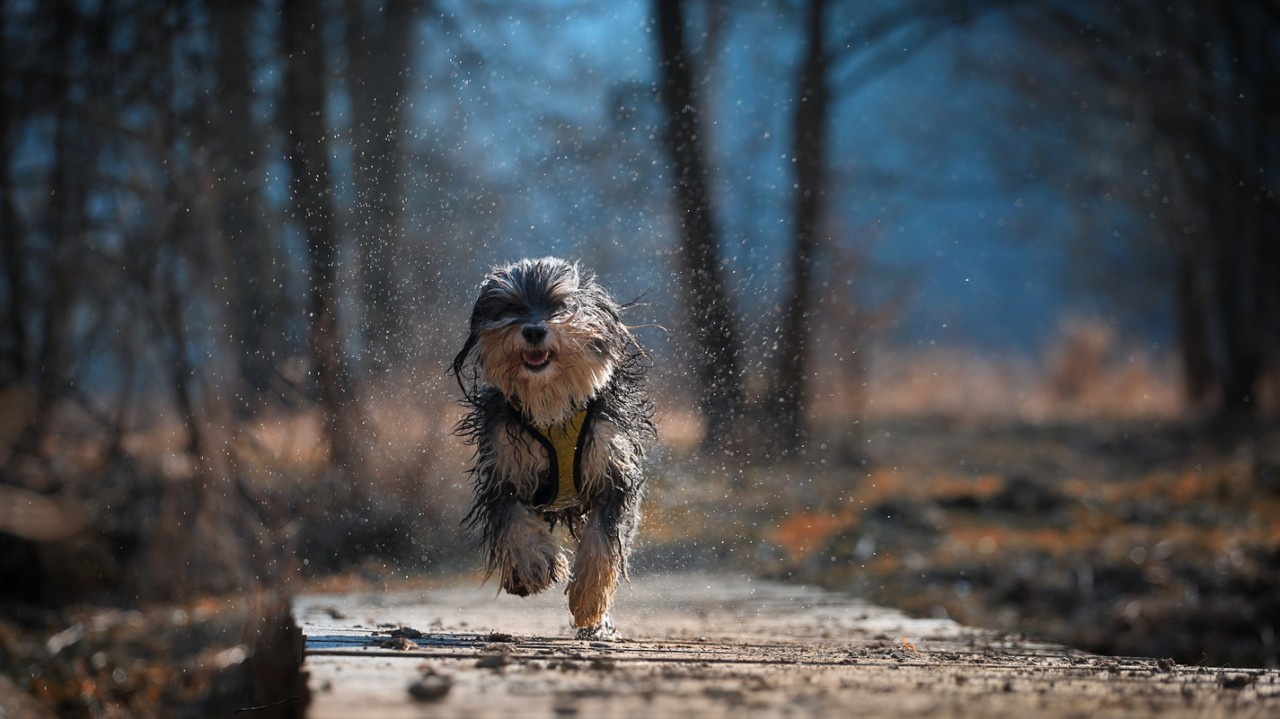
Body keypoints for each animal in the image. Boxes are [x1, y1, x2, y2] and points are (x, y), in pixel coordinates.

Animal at [453, 257, 655, 637]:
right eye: (512, 307)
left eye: (560, 305)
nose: (533, 330)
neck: (551, 405)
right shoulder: (504, 467)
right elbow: (515, 522)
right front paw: (535, 563)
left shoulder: (613, 470)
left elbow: (602, 543)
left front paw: (589, 602)